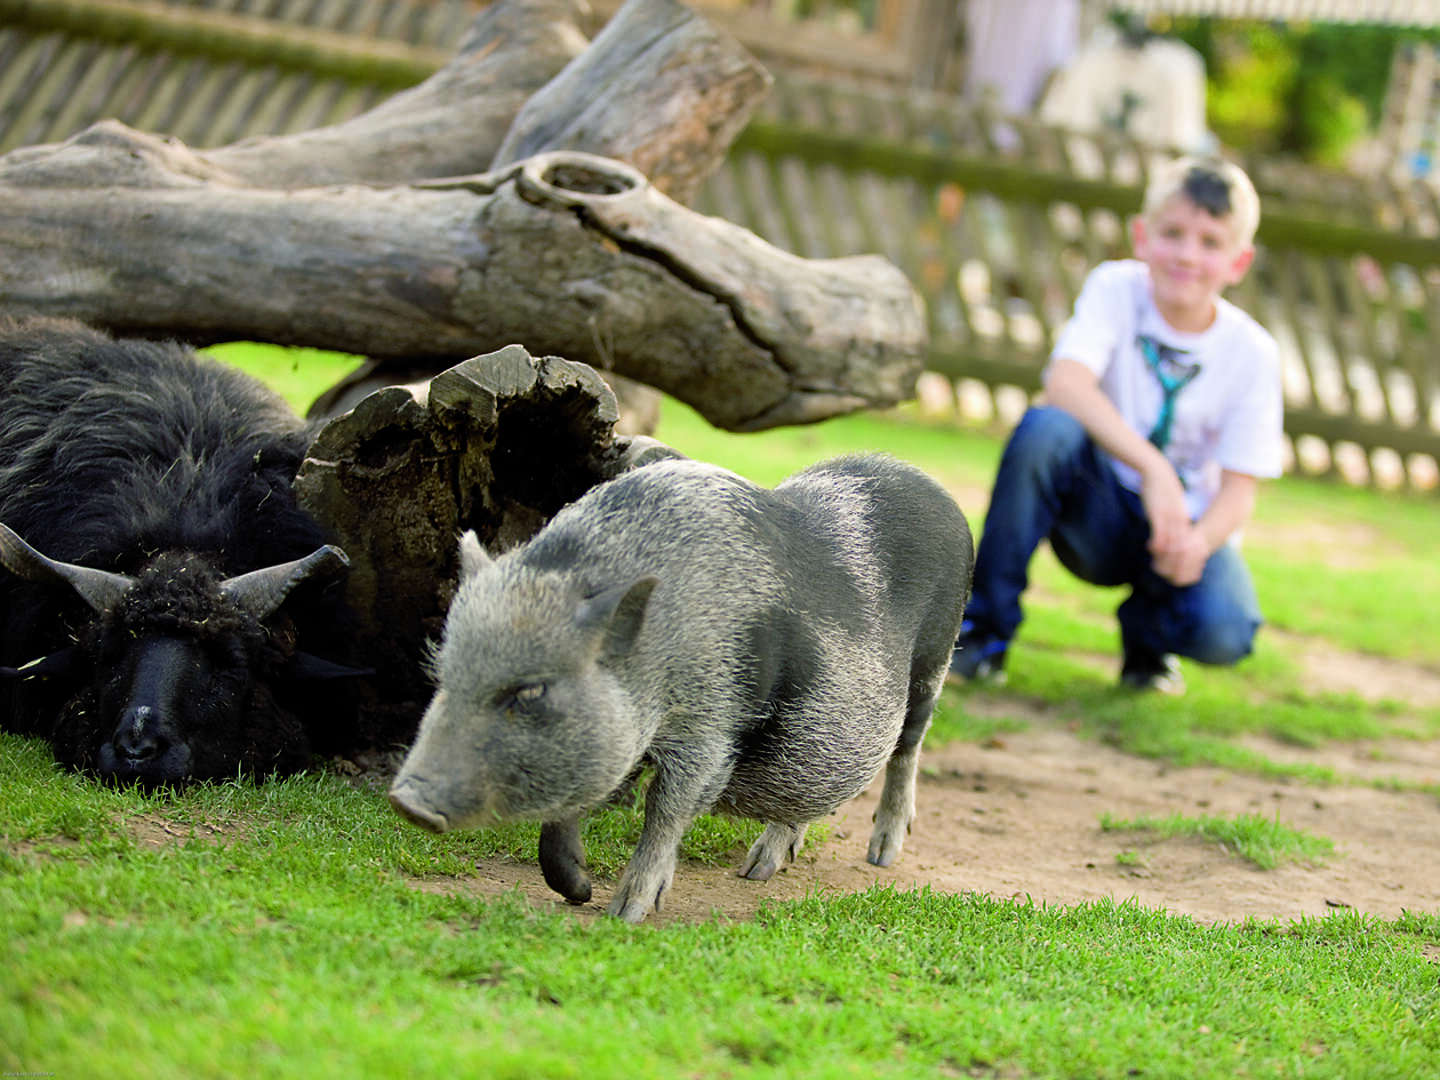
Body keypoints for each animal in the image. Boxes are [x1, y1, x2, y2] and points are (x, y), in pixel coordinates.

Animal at [388, 452, 973, 927]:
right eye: (444, 674)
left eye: (531, 691)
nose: (406, 801)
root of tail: (935, 488)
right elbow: (568, 809)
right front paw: (578, 892)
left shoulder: (709, 728)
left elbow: (666, 808)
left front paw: (626, 913)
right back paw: (758, 871)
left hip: (935, 659)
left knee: (907, 750)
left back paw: (880, 855)